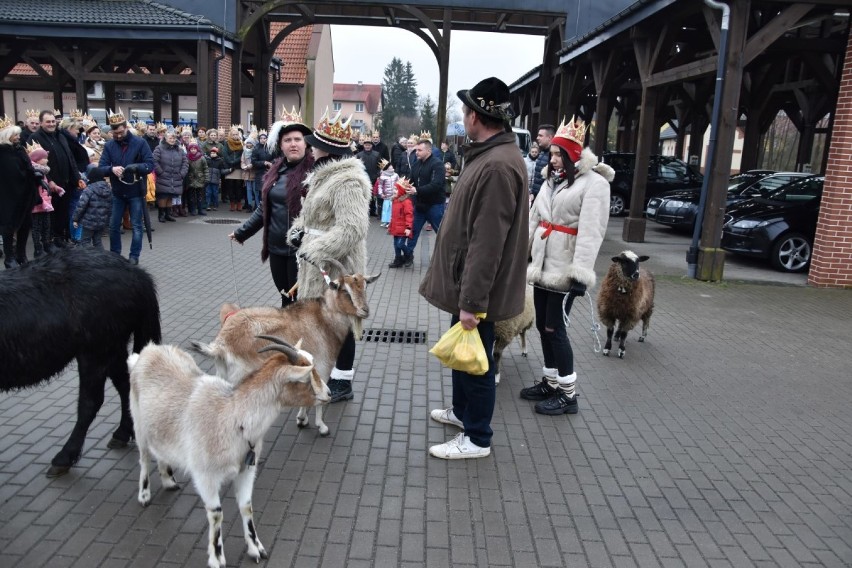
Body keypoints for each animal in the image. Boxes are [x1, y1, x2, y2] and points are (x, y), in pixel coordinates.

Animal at [0, 251, 161, 478]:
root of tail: (136, 272)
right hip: (112, 348)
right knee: (125, 385)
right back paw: (121, 433)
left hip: (96, 351)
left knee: (90, 402)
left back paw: (64, 457)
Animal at [127, 340, 330, 564]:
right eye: (305, 377)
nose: (329, 394)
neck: (233, 417)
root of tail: (148, 351)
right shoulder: (205, 476)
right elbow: (216, 514)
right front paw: (217, 558)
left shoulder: (246, 470)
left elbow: (246, 506)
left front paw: (256, 549)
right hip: (138, 424)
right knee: (144, 458)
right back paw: (144, 495)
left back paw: (168, 481)